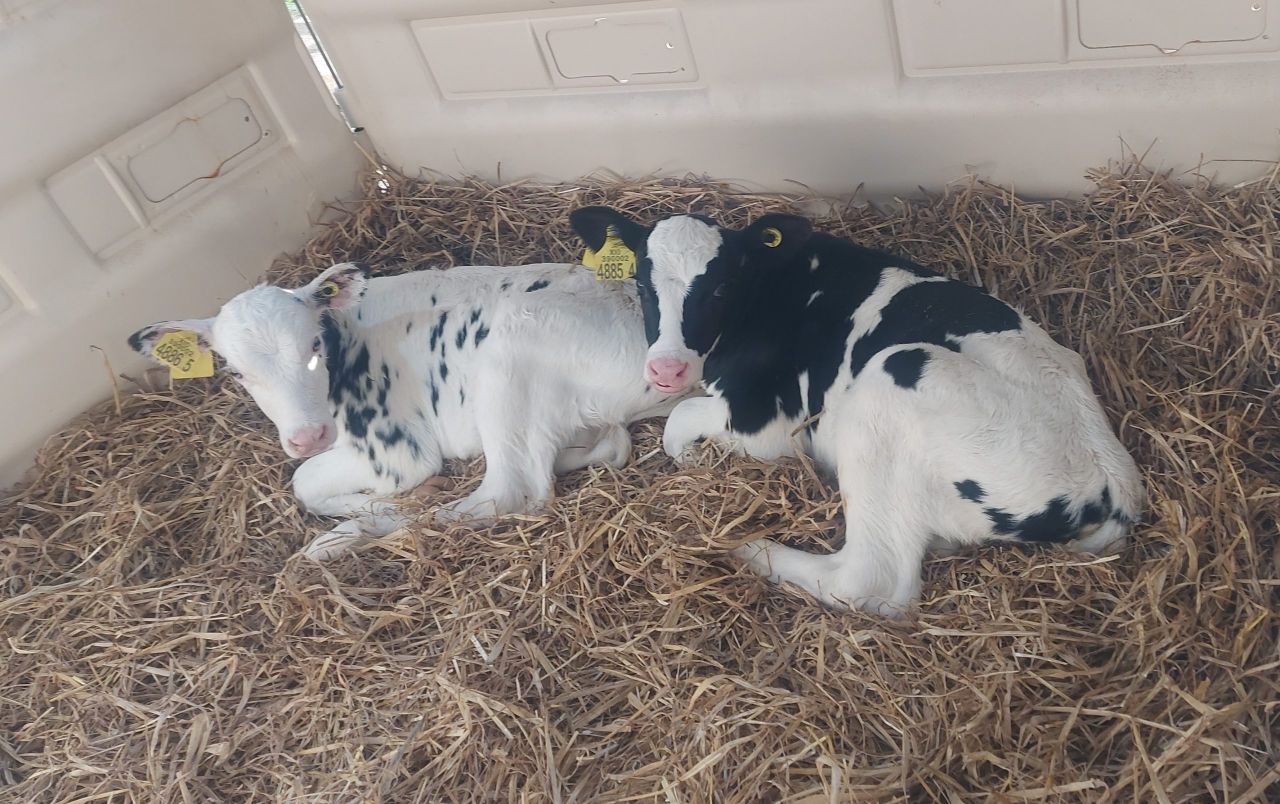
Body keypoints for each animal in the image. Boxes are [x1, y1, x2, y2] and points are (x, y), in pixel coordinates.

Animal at [129, 261, 682, 559]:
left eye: (314, 345)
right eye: (238, 372)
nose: (307, 437)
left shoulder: (397, 450)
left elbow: (303, 482)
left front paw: (378, 508)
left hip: (509, 356)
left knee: (509, 493)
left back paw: (345, 539)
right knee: (609, 444)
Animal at [570, 206, 1143, 618]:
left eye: (721, 287)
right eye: (642, 284)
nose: (666, 368)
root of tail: (1109, 488)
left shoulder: (767, 423)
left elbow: (678, 424)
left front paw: (694, 460)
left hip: (893, 383)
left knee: (869, 580)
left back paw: (753, 550)